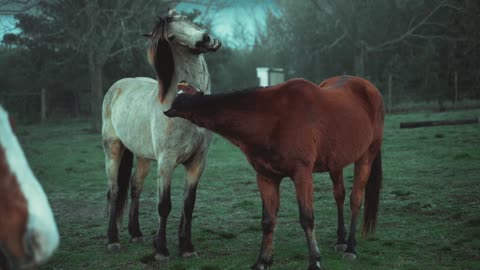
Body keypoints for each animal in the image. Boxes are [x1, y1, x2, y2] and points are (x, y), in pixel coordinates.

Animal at [102, 9, 221, 260]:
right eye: (172, 38)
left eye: (186, 20)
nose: (206, 40)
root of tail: (117, 86)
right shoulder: (166, 162)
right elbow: (164, 205)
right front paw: (161, 250)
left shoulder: (198, 162)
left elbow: (189, 204)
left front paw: (187, 247)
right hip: (113, 150)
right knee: (114, 191)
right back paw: (113, 240)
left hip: (144, 157)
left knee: (135, 187)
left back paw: (136, 234)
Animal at [163, 76, 384, 270]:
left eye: (184, 98)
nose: (166, 111)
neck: (273, 118)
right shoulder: (266, 177)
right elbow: (268, 221)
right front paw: (263, 261)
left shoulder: (302, 174)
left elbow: (307, 218)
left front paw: (314, 261)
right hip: (336, 162)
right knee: (339, 195)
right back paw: (340, 240)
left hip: (366, 156)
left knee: (355, 199)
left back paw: (351, 248)